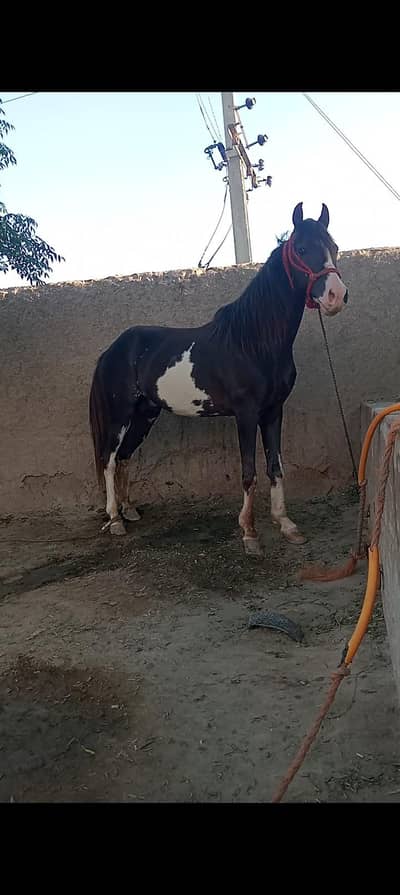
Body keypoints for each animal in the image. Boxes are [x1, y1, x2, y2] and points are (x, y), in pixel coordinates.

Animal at [89, 202, 348, 556]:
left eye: (334, 247)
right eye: (302, 249)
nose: (336, 295)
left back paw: (130, 510)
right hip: (120, 416)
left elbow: (276, 467)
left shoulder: (273, 412)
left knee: (126, 457)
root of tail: (111, 350)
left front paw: (287, 525)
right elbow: (249, 471)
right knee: (109, 460)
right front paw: (250, 534)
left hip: (145, 415)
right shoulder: (246, 414)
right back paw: (115, 519)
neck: (253, 342)